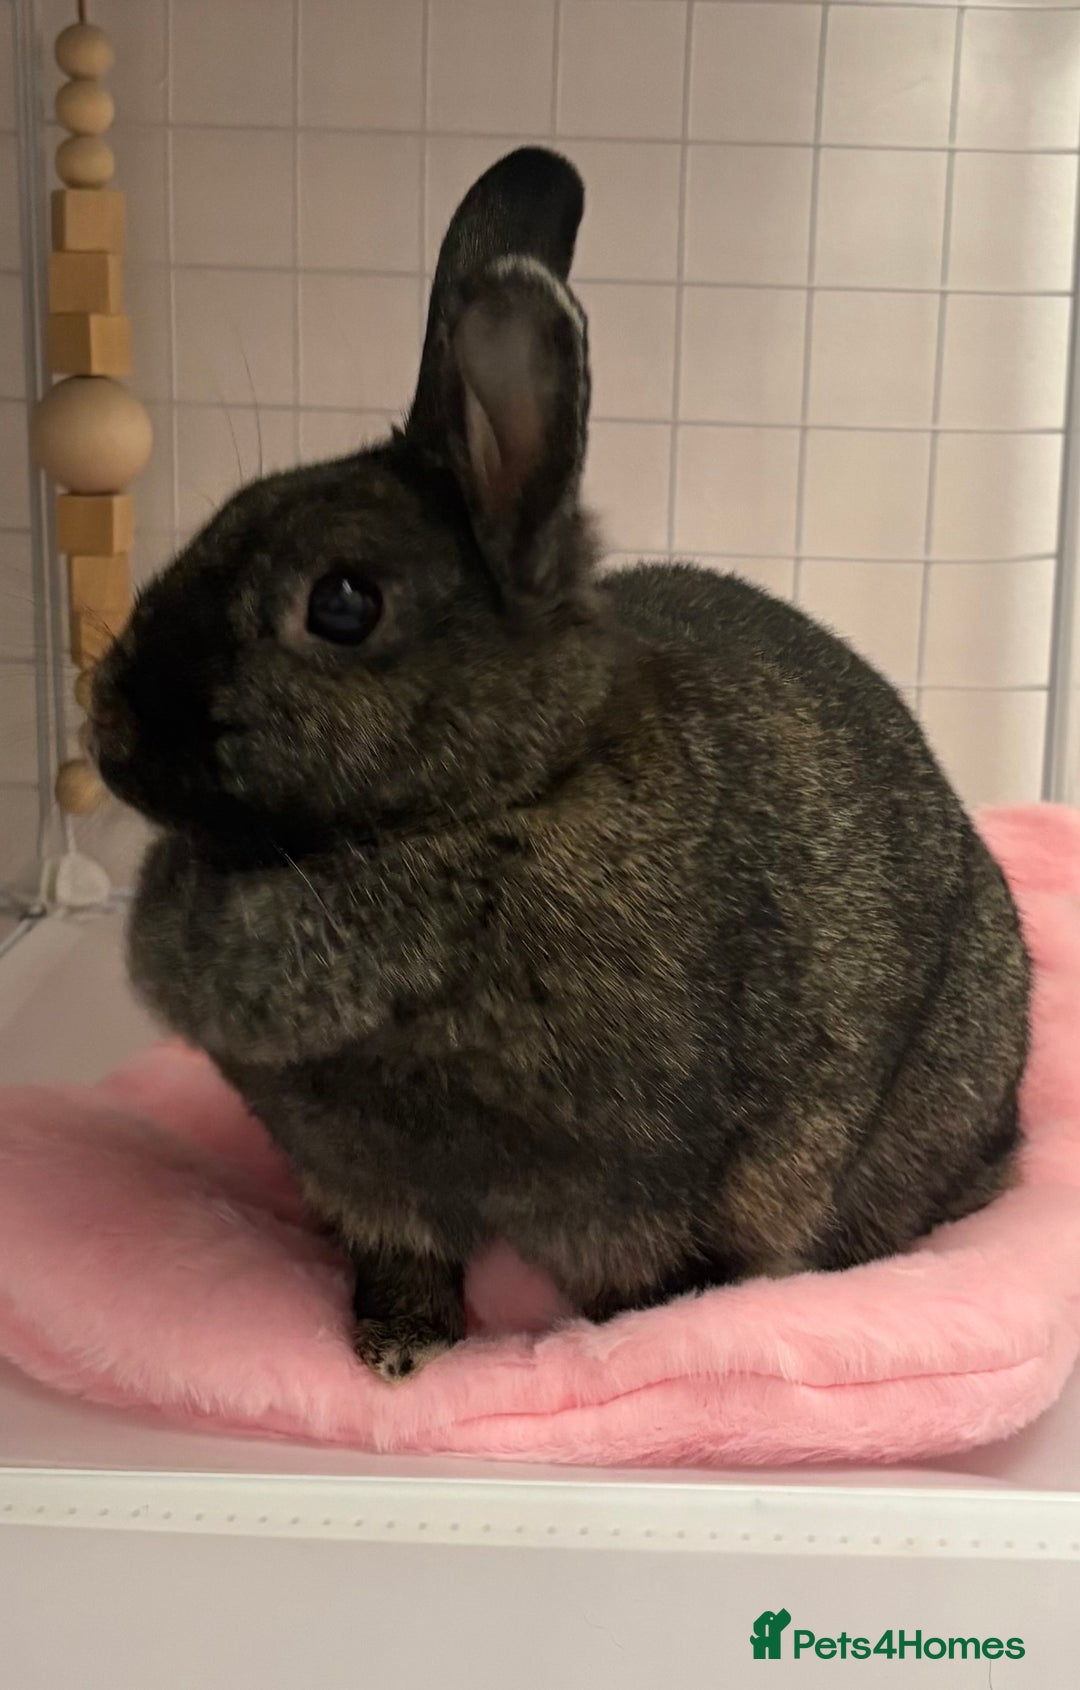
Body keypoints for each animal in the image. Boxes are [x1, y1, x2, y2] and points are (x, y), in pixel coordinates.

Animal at [92, 147, 1030, 1381]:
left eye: (341, 604)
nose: (107, 722)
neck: (495, 803)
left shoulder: (633, 1197)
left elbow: (643, 1289)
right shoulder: (365, 1180)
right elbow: (403, 1260)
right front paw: (398, 1352)